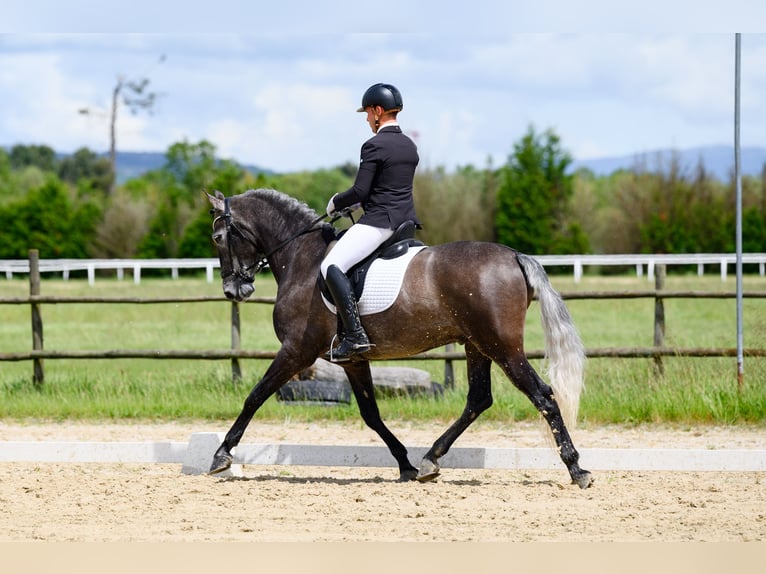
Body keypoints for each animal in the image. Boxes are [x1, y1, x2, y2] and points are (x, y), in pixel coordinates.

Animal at [205, 188, 593, 489]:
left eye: (218, 238)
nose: (233, 290)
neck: (302, 259)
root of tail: (514, 256)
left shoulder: (296, 351)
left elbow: (255, 396)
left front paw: (222, 454)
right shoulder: (353, 359)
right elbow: (371, 414)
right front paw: (405, 465)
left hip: (503, 347)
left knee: (542, 396)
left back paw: (576, 469)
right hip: (476, 345)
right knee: (479, 399)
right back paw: (430, 460)